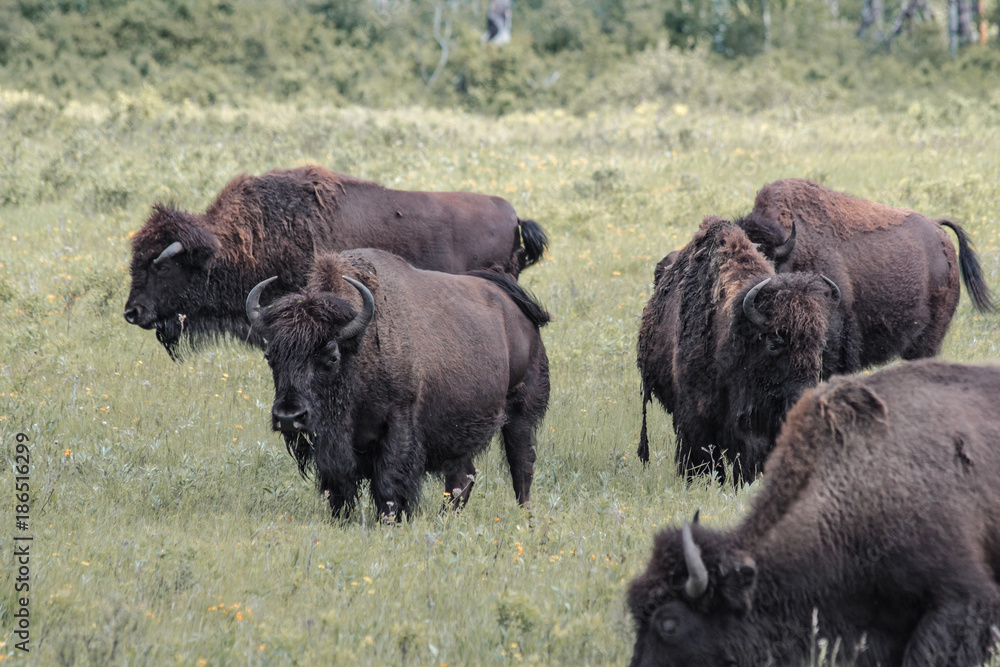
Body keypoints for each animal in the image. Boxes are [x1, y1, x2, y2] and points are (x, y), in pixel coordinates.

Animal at [247, 248, 552, 520]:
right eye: (270, 356)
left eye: (332, 357)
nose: (289, 417)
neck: (359, 348)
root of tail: (515, 304)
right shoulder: (333, 445)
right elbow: (338, 484)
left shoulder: (399, 423)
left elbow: (389, 482)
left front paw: (391, 520)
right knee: (462, 477)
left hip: (521, 413)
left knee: (521, 465)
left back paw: (525, 516)